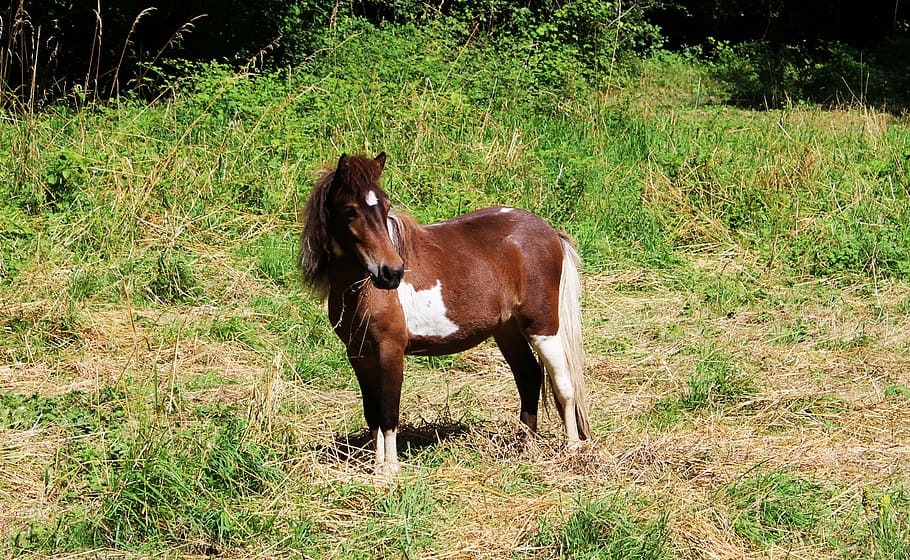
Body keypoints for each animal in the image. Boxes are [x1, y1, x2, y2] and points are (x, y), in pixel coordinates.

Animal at [299, 152, 591, 475]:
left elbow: (388, 413)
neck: (364, 289)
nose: (392, 273)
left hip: (543, 326)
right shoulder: (358, 353)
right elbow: (372, 412)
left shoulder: (390, 349)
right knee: (529, 376)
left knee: (564, 384)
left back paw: (572, 449)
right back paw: (524, 446)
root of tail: (550, 232)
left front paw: (391, 471)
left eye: (385, 206)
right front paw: (377, 468)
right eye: (350, 211)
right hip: (507, 330)